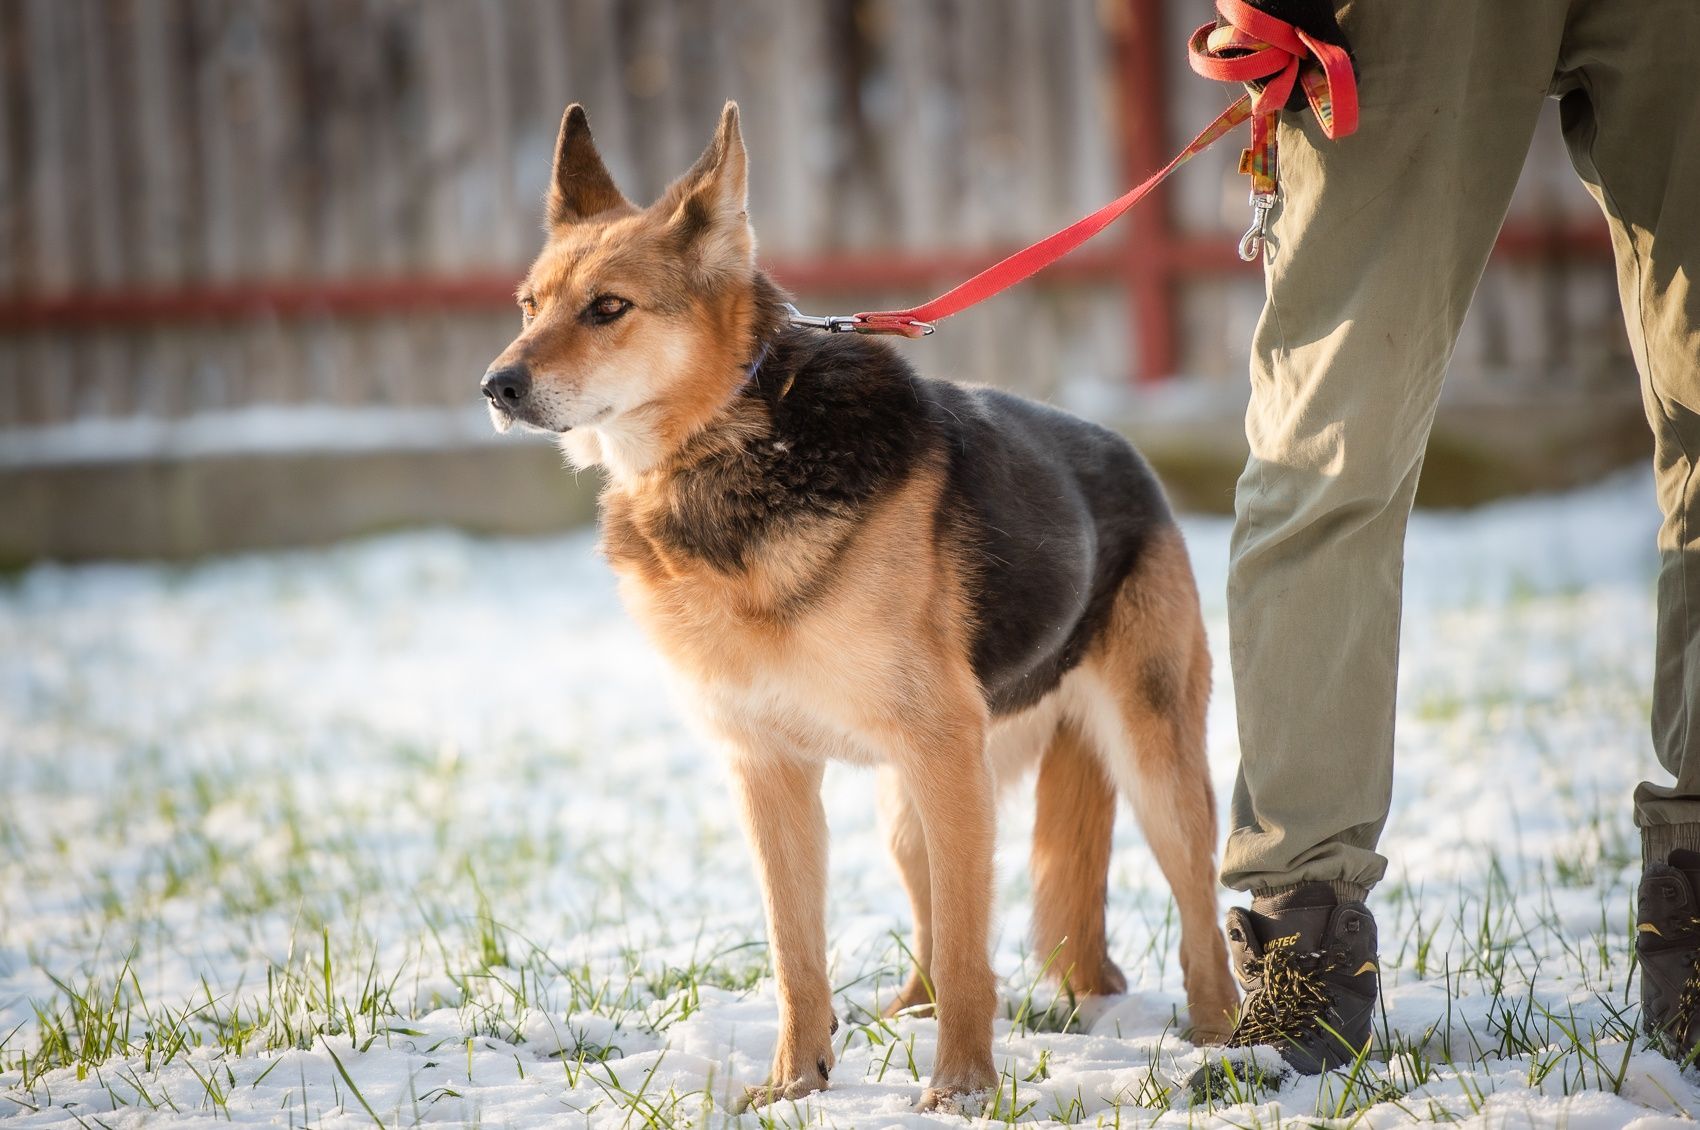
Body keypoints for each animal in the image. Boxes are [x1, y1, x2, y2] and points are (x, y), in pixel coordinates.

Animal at [479, 101, 1237, 1107]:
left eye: (609, 308)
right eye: (530, 306)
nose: (496, 386)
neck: (733, 447)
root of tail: (1131, 462)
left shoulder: (937, 750)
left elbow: (968, 951)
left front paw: (960, 1092)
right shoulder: (768, 771)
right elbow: (796, 953)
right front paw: (796, 1084)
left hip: (1140, 766)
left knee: (1196, 912)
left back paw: (1226, 1039)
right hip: (912, 805)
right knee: (933, 925)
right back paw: (907, 1013)